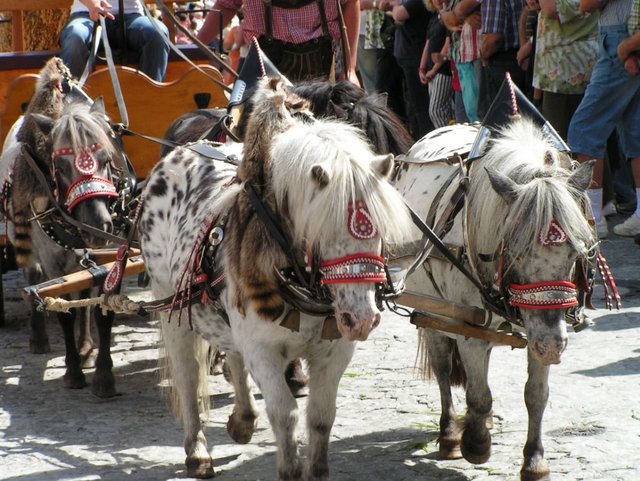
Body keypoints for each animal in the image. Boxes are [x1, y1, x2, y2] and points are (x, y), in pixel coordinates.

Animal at [138, 77, 412, 478]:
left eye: (378, 229)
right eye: (322, 230)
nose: (361, 320)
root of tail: (178, 153)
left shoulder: (335, 351)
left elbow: (321, 417)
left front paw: (316, 468)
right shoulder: (263, 349)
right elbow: (285, 414)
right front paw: (289, 468)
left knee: (232, 355)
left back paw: (243, 419)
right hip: (172, 307)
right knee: (188, 376)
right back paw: (197, 451)